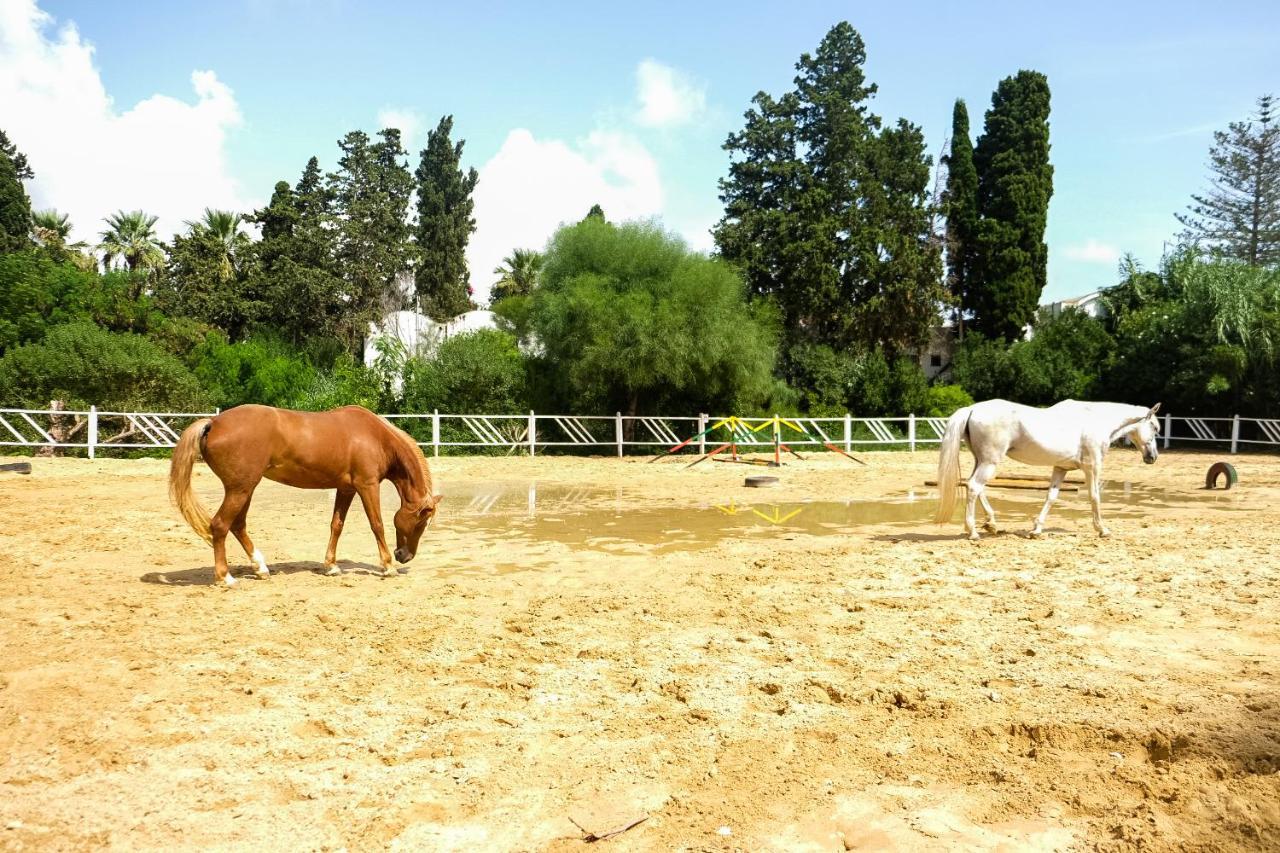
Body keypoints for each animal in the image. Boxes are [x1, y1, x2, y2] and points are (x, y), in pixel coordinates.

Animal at [170, 404, 440, 584]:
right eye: (421, 523)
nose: (404, 556)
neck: (376, 437)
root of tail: (213, 423)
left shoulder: (346, 488)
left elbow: (336, 525)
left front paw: (330, 566)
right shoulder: (367, 485)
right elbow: (377, 524)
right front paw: (387, 566)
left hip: (244, 489)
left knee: (237, 525)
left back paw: (260, 568)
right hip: (240, 489)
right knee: (220, 525)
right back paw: (224, 577)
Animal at [936, 399, 1167, 537]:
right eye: (1155, 427)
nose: (1153, 457)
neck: (1095, 420)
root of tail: (973, 409)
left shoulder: (1060, 468)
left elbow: (1051, 497)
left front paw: (1036, 529)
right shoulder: (1092, 467)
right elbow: (1094, 496)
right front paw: (1102, 529)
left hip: (982, 460)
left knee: (974, 486)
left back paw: (990, 523)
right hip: (989, 462)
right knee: (974, 486)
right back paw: (972, 531)